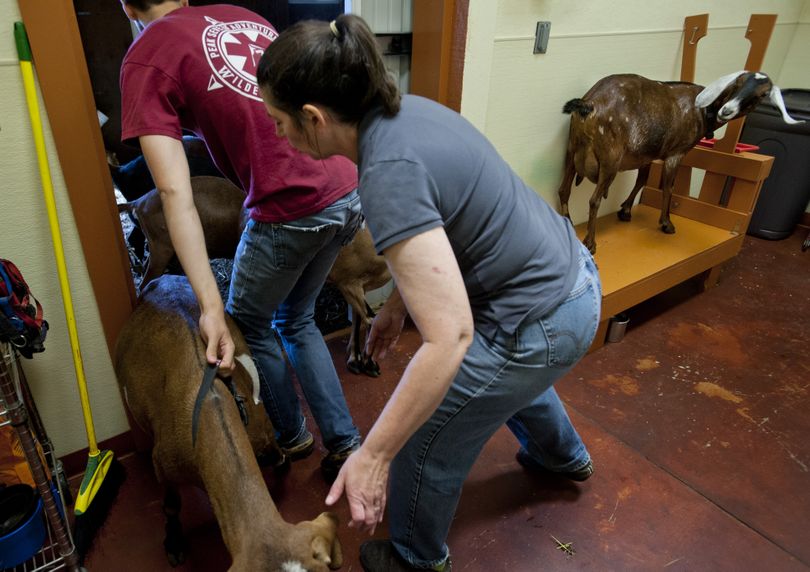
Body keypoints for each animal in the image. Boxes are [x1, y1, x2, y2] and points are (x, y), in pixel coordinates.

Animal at [113, 274, 340, 568]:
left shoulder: (260, 429)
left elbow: (276, 454)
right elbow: (171, 505)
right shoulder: (162, 463)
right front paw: (174, 543)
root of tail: (164, 279)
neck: (212, 405)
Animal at [552, 70, 800, 254]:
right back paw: (590, 243)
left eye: (761, 94)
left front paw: (626, 211)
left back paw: (569, 224)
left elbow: (642, 180)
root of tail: (589, 104)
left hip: (572, 148)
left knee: (563, 189)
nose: (727, 110)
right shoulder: (677, 152)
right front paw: (666, 223)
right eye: (737, 84)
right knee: (594, 200)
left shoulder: (647, 154)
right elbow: (668, 188)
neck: (703, 112)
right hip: (610, 158)